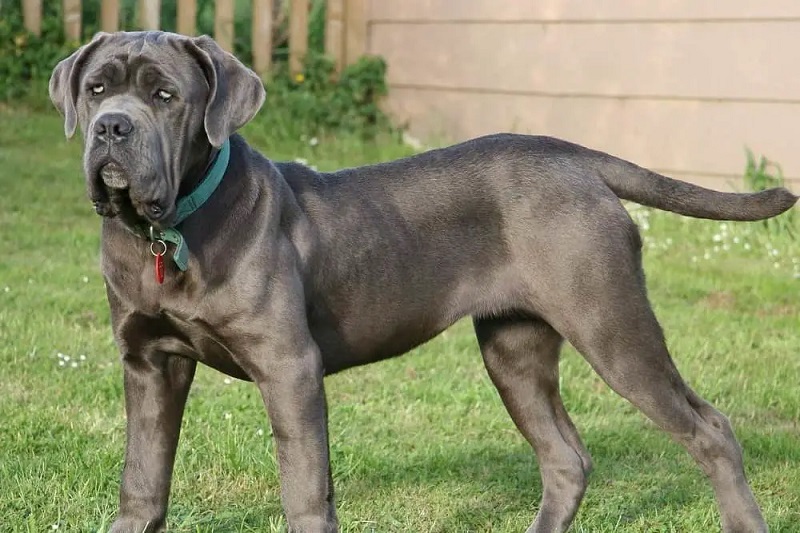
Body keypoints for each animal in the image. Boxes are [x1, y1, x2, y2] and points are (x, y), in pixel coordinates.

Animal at [48, 31, 792, 528]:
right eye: (95, 90)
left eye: (165, 96)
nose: (112, 128)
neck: (170, 228)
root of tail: (573, 156)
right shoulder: (150, 363)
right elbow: (143, 479)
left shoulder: (289, 367)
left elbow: (305, 489)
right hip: (513, 349)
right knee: (565, 458)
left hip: (611, 324)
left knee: (710, 429)